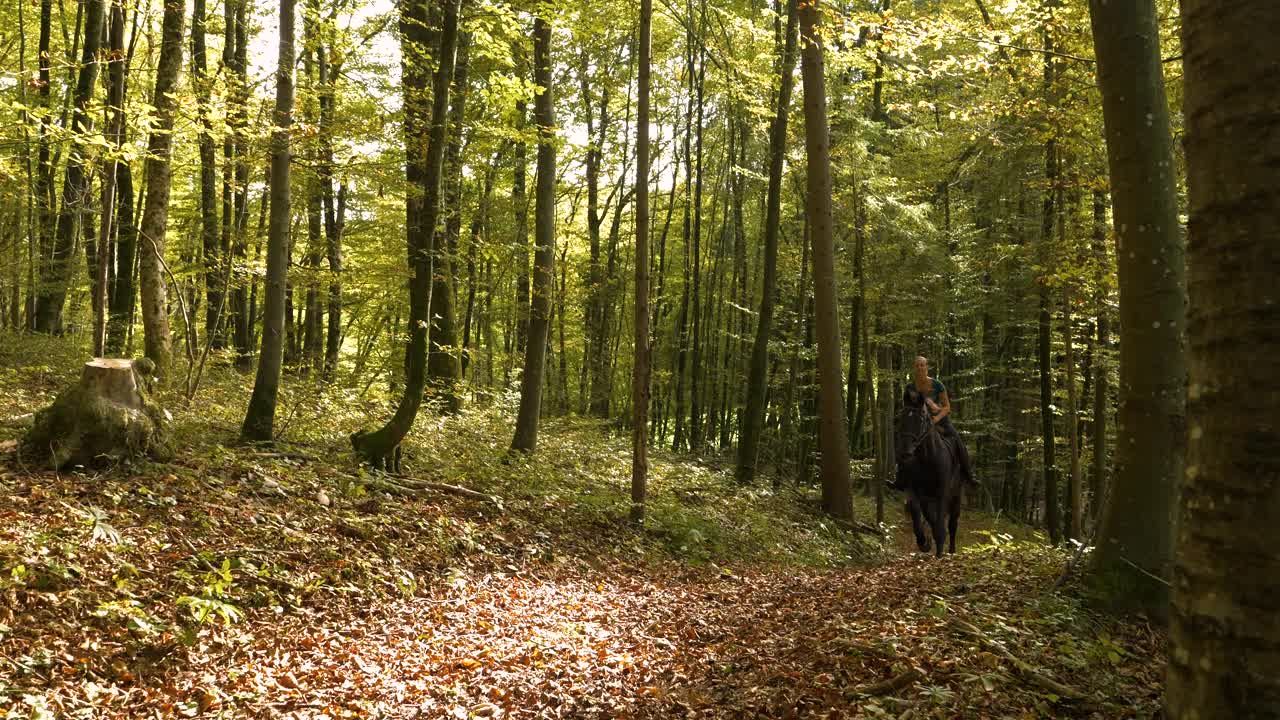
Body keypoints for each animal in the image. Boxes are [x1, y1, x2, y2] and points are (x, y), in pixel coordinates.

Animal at [896, 386, 962, 556]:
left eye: (920, 419)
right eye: (901, 419)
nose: (905, 453)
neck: (928, 458)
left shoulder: (942, 493)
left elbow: (940, 523)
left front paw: (939, 551)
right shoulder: (915, 491)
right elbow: (917, 513)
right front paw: (923, 542)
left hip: (956, 495)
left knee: (953, 523)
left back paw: (951, 550)